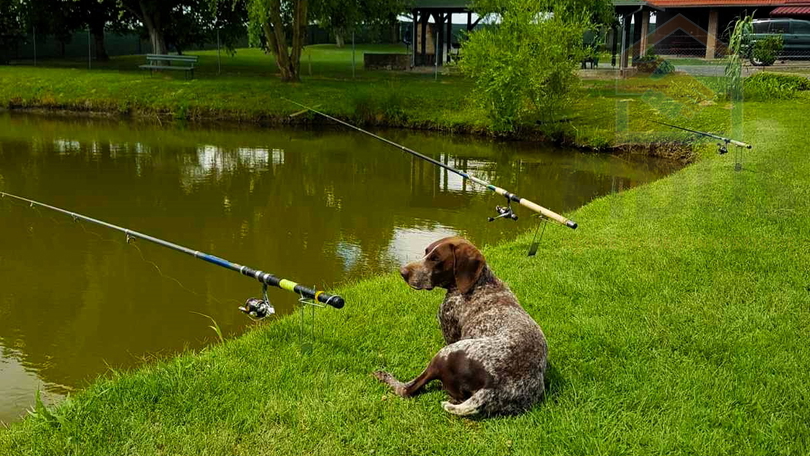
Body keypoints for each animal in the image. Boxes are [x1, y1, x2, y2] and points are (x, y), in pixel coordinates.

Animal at [374, 239, 548, 416]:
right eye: (426, 252)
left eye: (436, 259)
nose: (403, 272)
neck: (479, 283)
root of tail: (490, 389)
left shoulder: (449, 330)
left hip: (444, 353)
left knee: (407, 389)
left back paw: (384, 376)